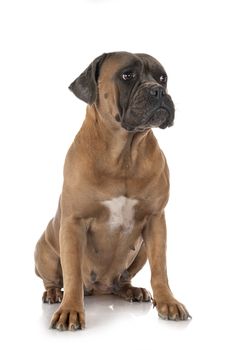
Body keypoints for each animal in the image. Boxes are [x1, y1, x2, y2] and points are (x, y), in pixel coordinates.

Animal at [34, 50, 191, 330]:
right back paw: (53, 294)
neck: (124, 154)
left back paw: (132, 291)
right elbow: (72, 274)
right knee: (54, 279)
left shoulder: (156, 220)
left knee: (123, 279)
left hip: (140, 249)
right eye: (127, 75)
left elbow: (160, 269)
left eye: (162, 78)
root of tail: (100, 289)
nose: (158, 91)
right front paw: (70, 310)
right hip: (45, 250)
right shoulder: (73, 223)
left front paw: (168, 302)